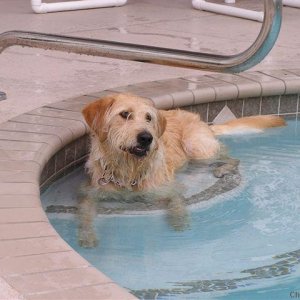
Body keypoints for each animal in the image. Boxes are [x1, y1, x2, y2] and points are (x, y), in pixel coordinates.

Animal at [78, 93, 284, 246]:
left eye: (148, 118)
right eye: (124, 114)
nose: (146, 138)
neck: (129, 170)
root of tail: (202, 122)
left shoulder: (170, 189)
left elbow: (177, 202)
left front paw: (180, 220)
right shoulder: (92, 194)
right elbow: (85, 214)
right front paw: (87, 236)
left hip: (197, 147)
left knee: (231, 158)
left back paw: (223, 169)